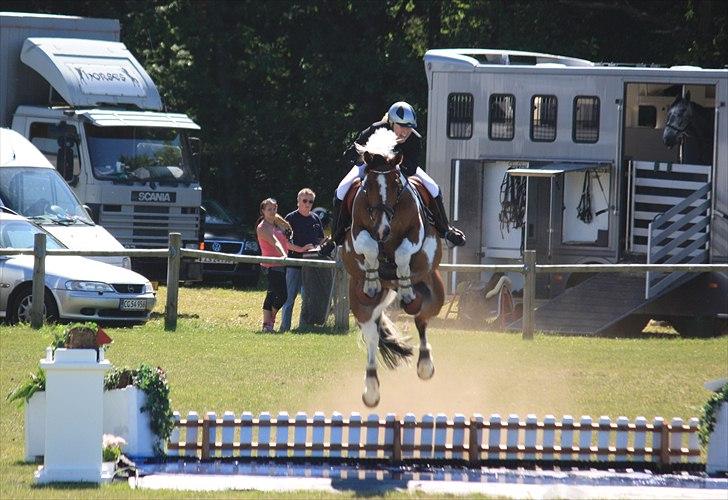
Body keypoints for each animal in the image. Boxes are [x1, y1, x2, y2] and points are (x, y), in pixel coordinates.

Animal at [342, 127, 444, 408]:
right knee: (372, 335)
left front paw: (402, 278)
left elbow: (402, 253)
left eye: (397, 184)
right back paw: (371, 389)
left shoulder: (416, 235)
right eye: (368, 186)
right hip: (359, 301)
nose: (383, 230)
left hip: (435, 291)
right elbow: (368, 247)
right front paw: (372, 275)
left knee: (421, 316)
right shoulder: (357, 234)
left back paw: (425, 364)